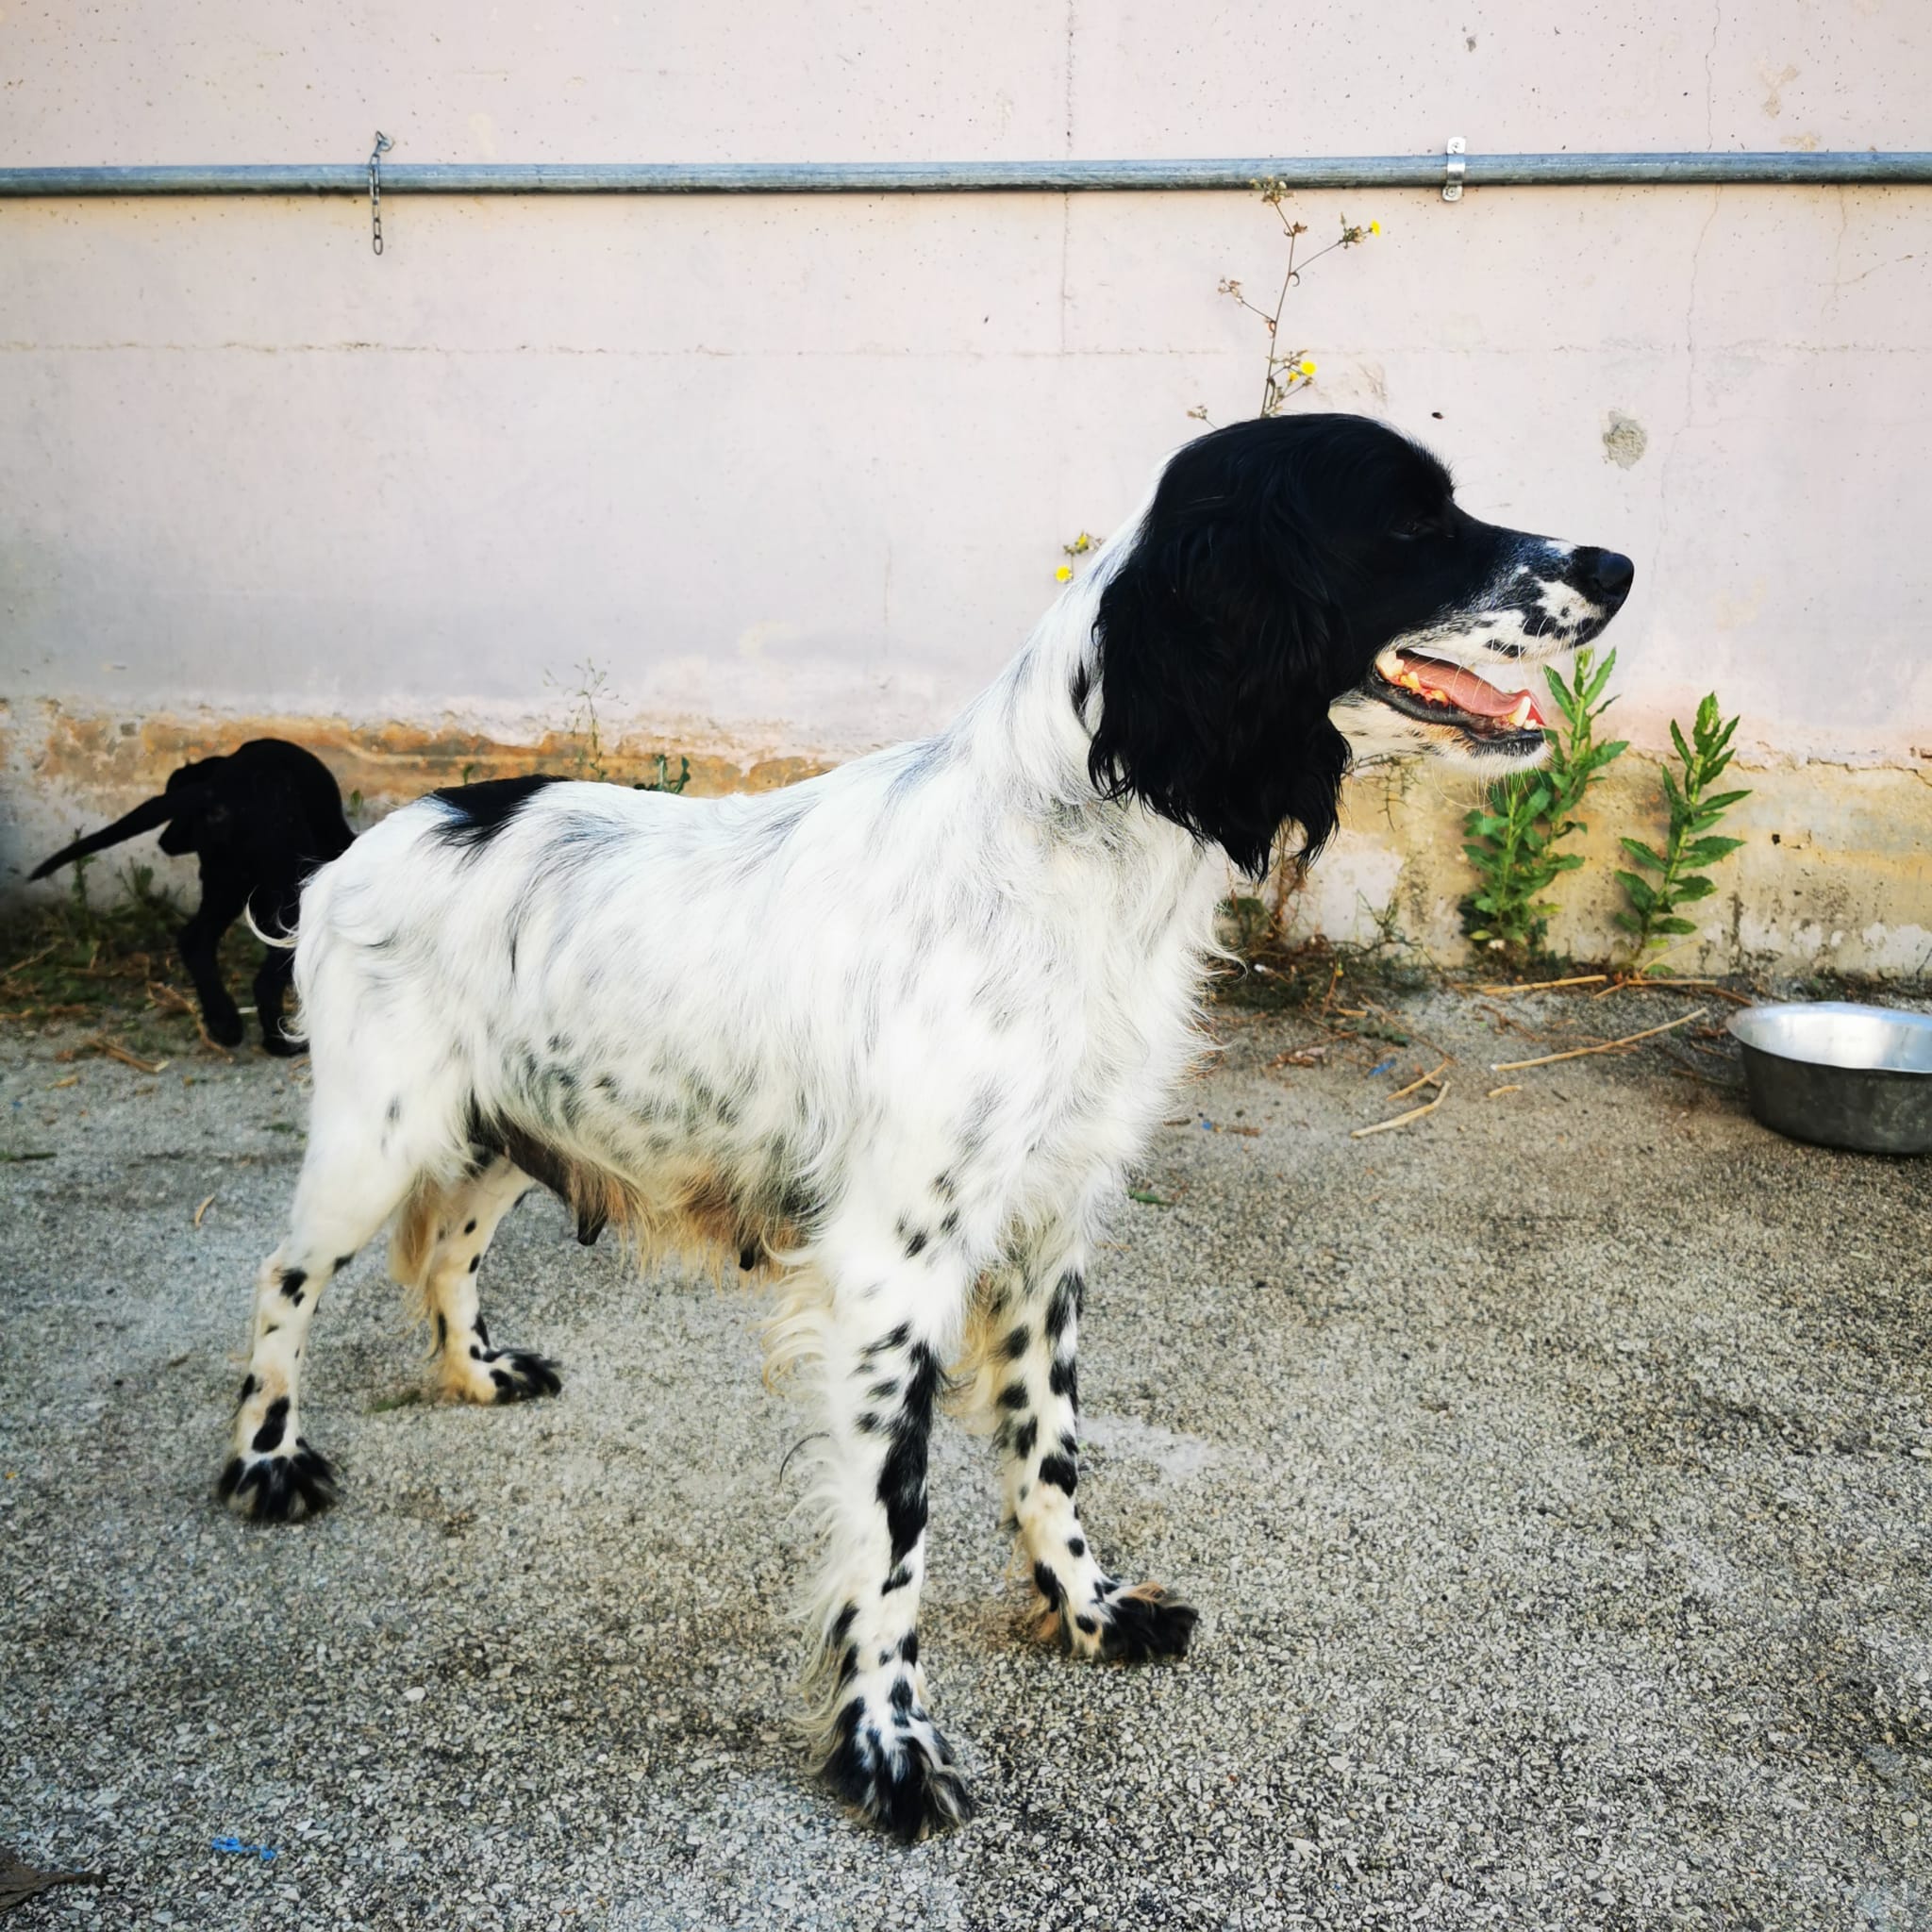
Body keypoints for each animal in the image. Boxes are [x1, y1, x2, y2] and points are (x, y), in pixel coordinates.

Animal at [30, 738, 354, 1054]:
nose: (166, 840)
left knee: (195, 940)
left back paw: (223, 1023)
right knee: (262, 979)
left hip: (226, 885)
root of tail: (215, 790)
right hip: (270, 892)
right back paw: (277, 1041)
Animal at [220, 415, 1632, 1837]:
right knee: (283, 1281)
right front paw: (884, 1745)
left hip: (507, 1134)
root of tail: (358, 848)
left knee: (447, 1254)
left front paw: (1088, 1610)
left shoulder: (1049, 1231)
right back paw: (265, 1459)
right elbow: (893, 1537)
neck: (1065, 852)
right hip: (376, 1141)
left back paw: (476, 1373)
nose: (1616, 565)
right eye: (1408, 518)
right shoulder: (892, 1272)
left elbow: (1048, 1451)